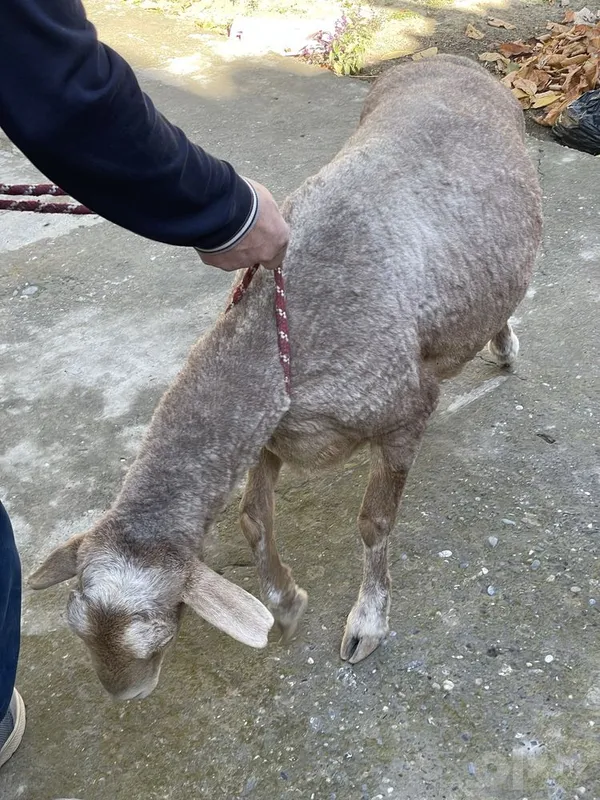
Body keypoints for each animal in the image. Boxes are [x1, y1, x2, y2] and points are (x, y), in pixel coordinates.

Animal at [28, 55, 542, 700]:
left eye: (160, 633)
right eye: (77, 625)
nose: (127, 695)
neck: (275, 350)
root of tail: (454, 59)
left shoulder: (406, 410)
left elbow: (374, 524)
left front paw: (367, 624)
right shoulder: (274, 430)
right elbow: (252, 517)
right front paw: (288, 603)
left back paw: (506, 348)